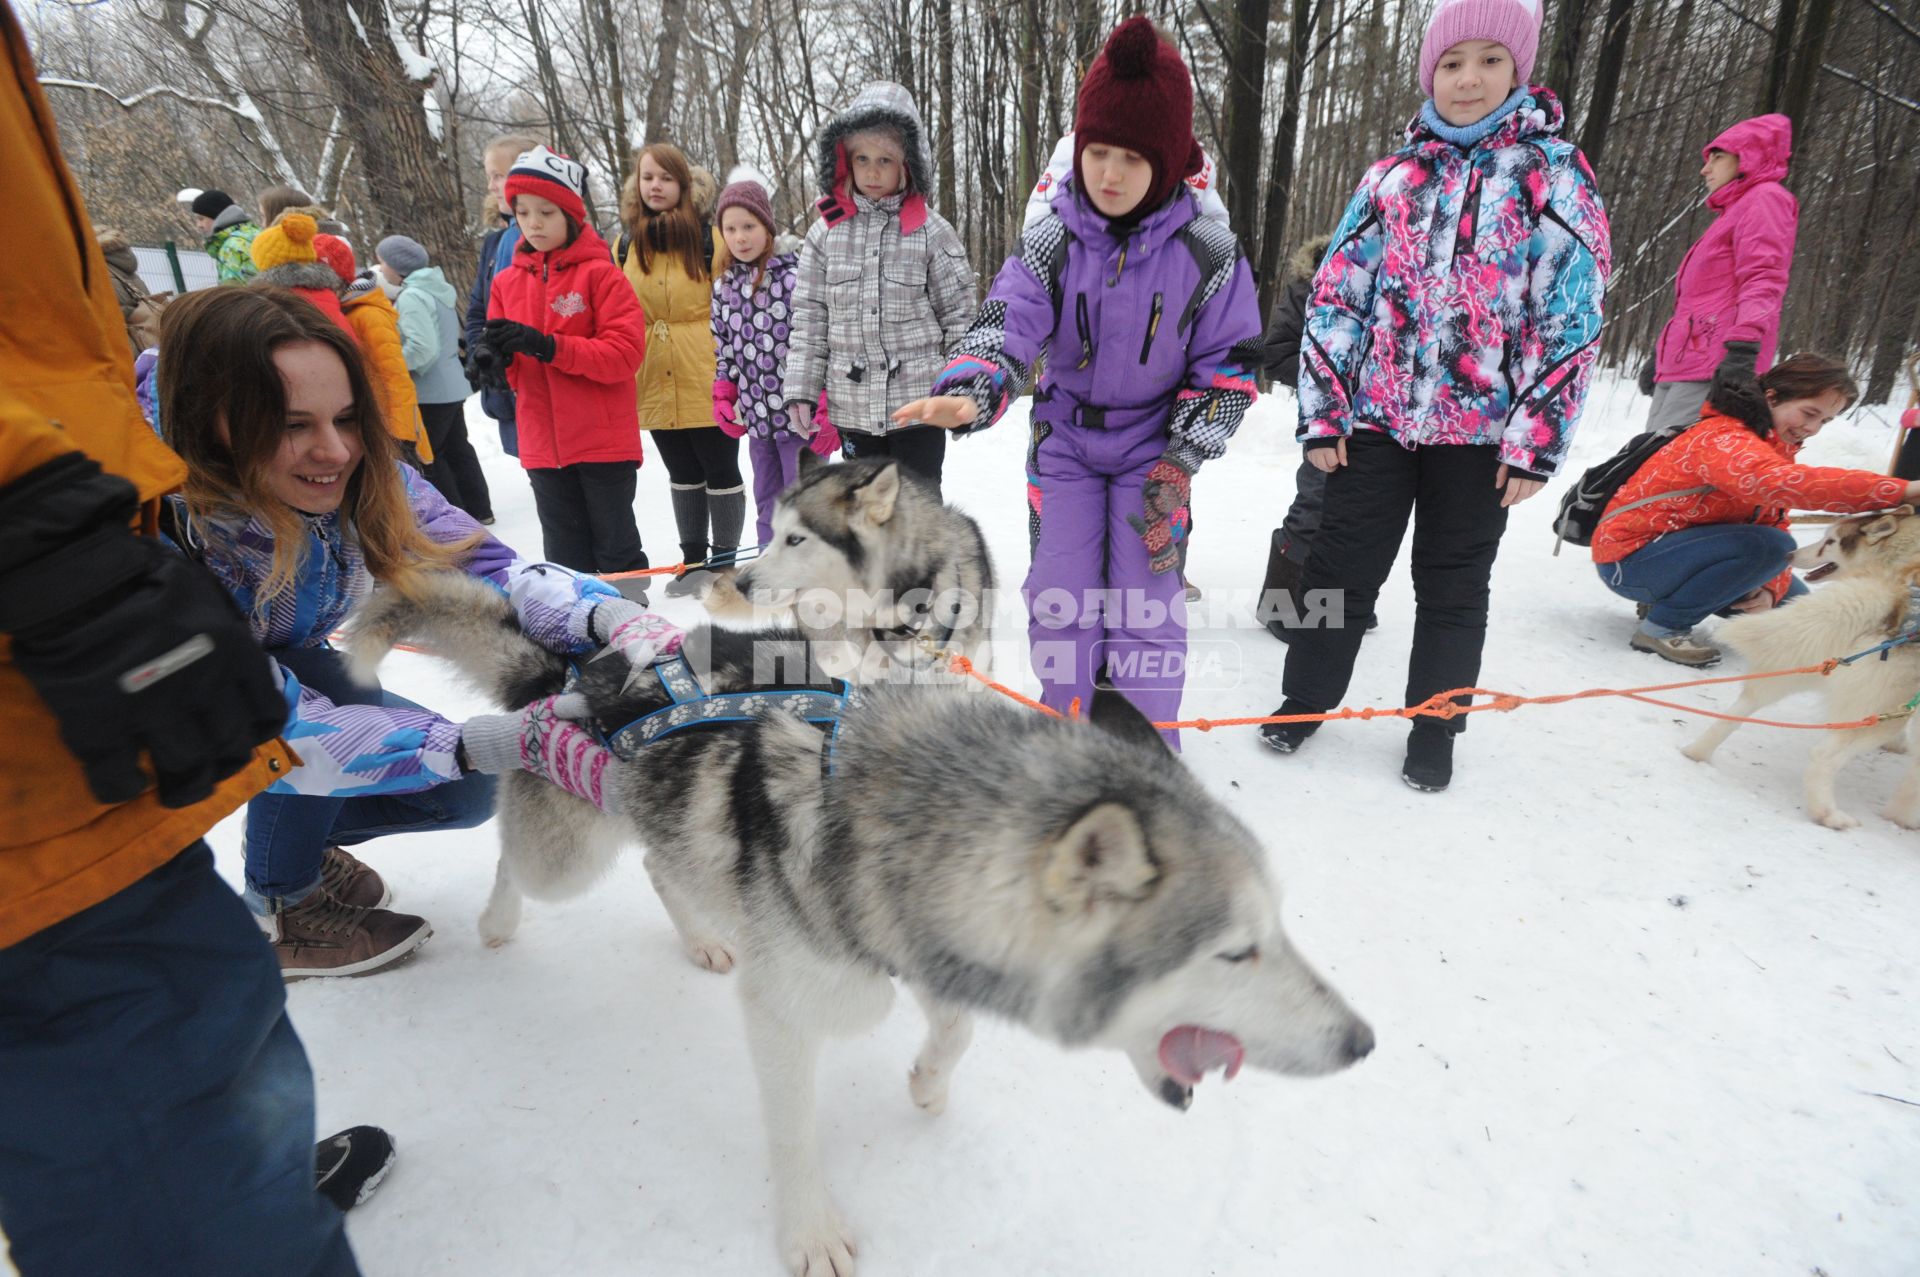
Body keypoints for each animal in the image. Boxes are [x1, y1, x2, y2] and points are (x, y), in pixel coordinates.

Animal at [1681, 506, 1920, 825]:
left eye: (1830, 541)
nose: (1790, 556)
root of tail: (1897, 596)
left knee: (1741, 707)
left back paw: (1698, 752)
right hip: (1880, 707)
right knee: (1825, 755)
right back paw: (1840, 816)